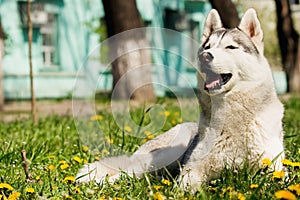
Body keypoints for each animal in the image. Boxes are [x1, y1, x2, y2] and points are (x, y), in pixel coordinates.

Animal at [76, 8, 284, 191]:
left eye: (231, 47)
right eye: (207, 47)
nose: (205, 56)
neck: (233, 117)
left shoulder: (275, 170)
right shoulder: (192, 168)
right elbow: (186, 184)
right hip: (163, 156)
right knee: (124, 173)